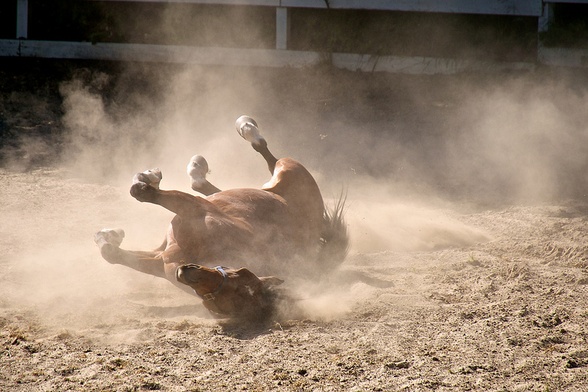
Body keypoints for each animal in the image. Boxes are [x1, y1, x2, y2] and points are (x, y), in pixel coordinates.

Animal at [94, 116, 346, 318]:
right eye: (238, 271)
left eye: (214, 298)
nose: (186, 271)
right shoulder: (164, 251)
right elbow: (112, 252)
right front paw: (110, 234)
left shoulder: (192, 211)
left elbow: (142, 196)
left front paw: (148, 178)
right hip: (275, 178)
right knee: (243, 169)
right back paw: (229, 140)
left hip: (288, 167)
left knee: (265, 154)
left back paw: (244, 130)